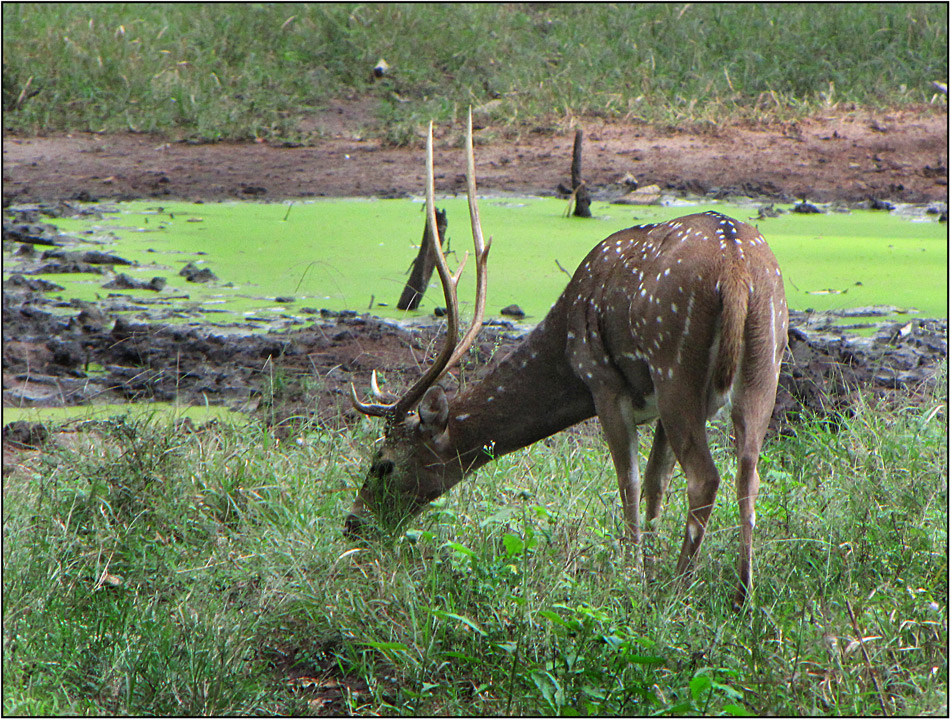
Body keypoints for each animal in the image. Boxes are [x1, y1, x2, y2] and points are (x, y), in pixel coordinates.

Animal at [346, 112, 792, 608]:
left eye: (382, 462)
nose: (353, 523)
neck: (564, 347)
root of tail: (737, 270)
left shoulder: (604, 383)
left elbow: (629, 482)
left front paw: (635, 577)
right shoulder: (654, 403)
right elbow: (655, 481)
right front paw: (649, 569)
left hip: (674, 363)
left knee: (706, 477)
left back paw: (681, 588)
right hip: (764, 361)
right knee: (748, 471)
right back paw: (741, 594)